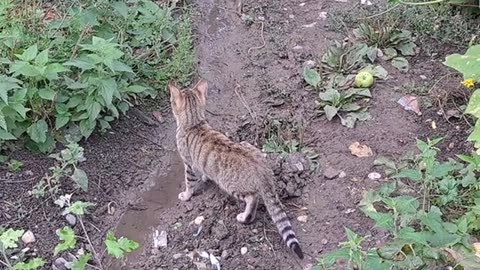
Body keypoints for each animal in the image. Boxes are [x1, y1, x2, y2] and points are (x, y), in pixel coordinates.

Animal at [170, 79, 304, 258]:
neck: (194, 122)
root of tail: (262, 170)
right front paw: (205, 177)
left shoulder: (188, 164)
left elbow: (189, 182)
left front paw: (186, 195)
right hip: (247, 145)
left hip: (230, 184)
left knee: (252, 198)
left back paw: (244, 217)